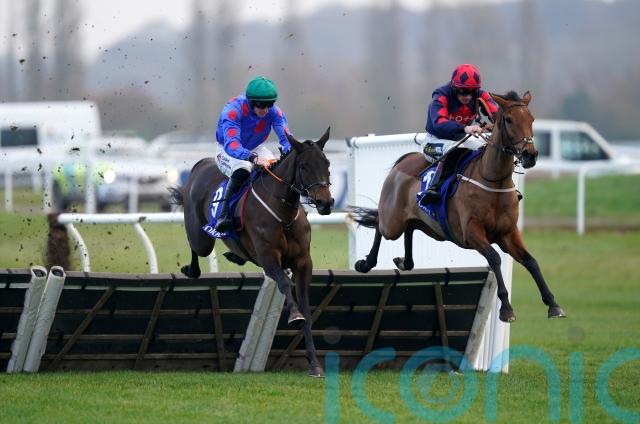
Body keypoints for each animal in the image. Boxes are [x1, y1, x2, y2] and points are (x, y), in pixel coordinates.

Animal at [169, 128, 334, 377]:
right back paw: (191, 269)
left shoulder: (303, 262)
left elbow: (306, 306)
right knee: (197, 249)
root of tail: (200, 164)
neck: (283, 213)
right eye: (304, 166)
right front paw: (294, 315)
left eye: (327, 163)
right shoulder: (268, 258)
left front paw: (314, 363)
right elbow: (284, 284)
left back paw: (235, 256)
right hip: (200, 237)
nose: (326, 203)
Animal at [349, 91, 566, 323]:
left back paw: (403, 262)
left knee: (409, 229)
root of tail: (403, 161)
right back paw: (366, 263)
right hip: (393, 222)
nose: (529, 155)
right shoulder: (471, 232)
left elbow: (531, 261)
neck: (493, 182)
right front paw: (506, 308)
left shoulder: (507, 232)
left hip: (424, 223)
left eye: (531, 119)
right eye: (509, 120)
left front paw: (553, 304)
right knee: (380, 225)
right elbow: (494, 258)